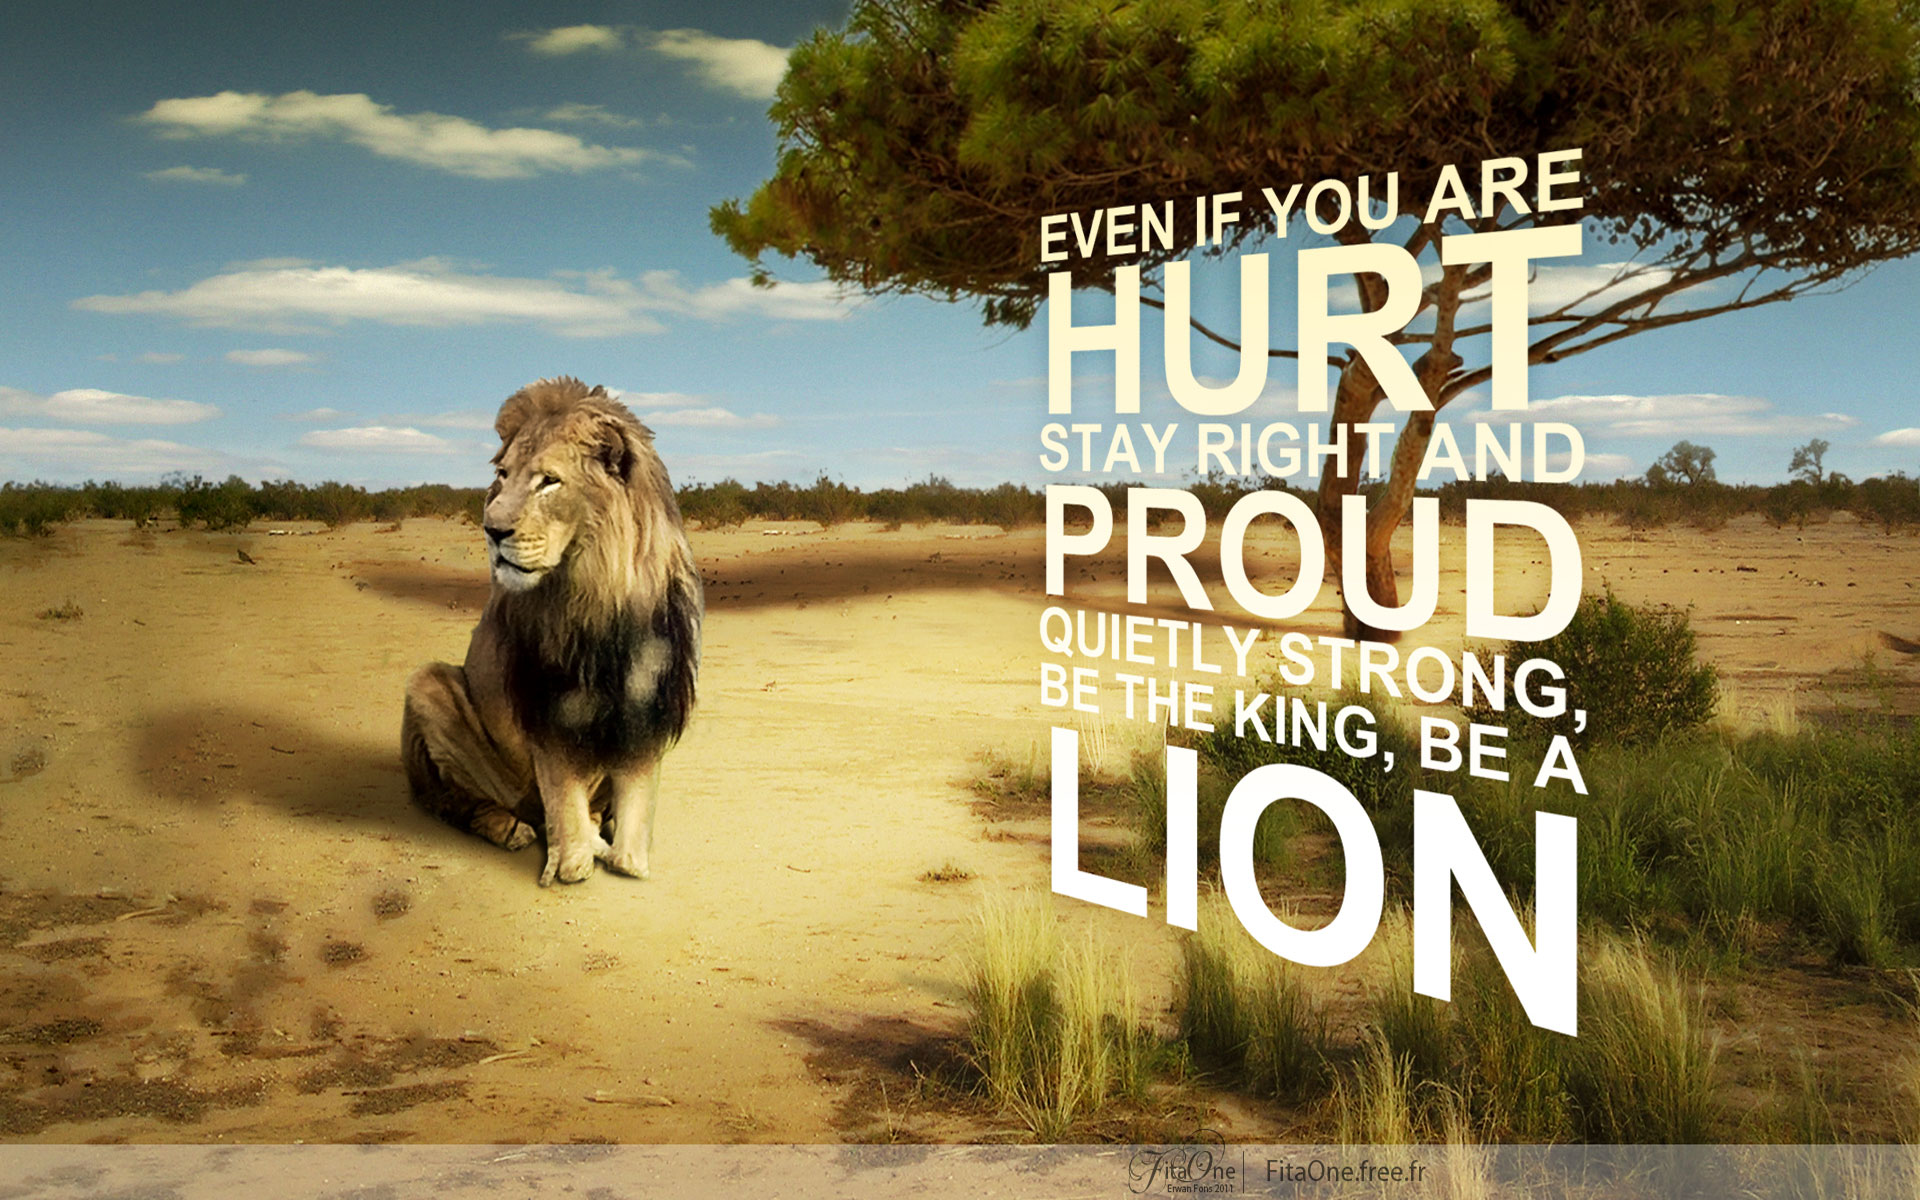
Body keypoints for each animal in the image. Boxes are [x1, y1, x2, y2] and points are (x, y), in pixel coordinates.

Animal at [400, 377, 702, 885]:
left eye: (548, 481)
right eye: (503, 476)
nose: (491, 530)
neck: (602, 596)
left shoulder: (647, 705)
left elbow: (636, 819)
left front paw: (626, 856)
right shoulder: (549, 710)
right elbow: (564, 802)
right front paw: (573, 862)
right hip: (428, 683)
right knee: (455, 802)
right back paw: (511, 828)